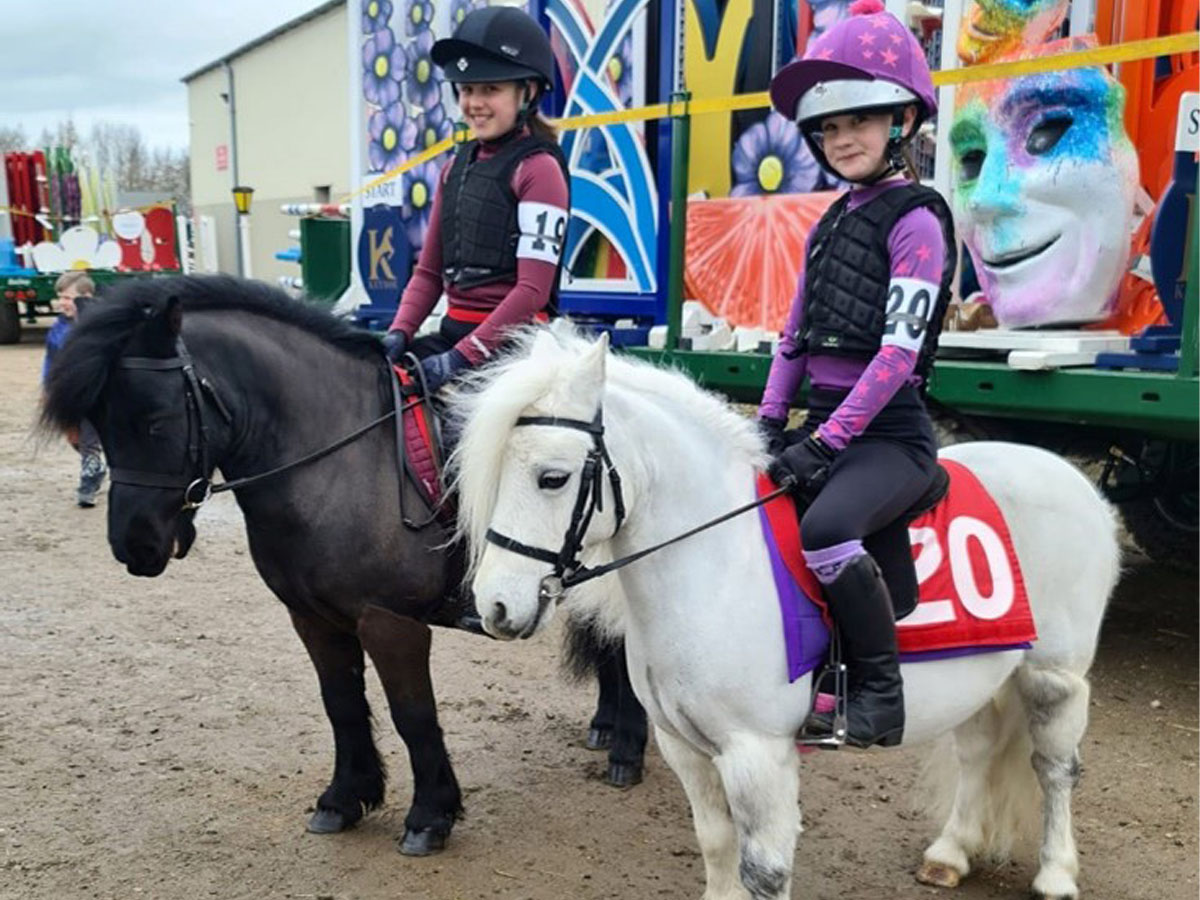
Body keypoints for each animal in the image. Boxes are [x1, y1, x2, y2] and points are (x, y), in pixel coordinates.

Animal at [39, 276, 647, 856]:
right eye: (97, 422)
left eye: (157, 421)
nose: (134, 545)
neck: (340, 462)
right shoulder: (312, 618)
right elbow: (342, 704)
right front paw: (345, 798)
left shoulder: (390, 623)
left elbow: (412, 714)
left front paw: (430, 816)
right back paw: (607, 728)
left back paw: (628, 748)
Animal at [451, 326, 1121, 900]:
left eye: (553, 477)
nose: (496, 605)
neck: (717, 564)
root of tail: (1071, 478)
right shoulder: (685, 748)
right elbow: (715, 845)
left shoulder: (759, 757)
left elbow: (765, 872)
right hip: (984, 667)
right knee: (978, 750)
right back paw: (950, 853)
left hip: (1053, 675)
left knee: (1056, 768)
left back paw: (1056, 874)